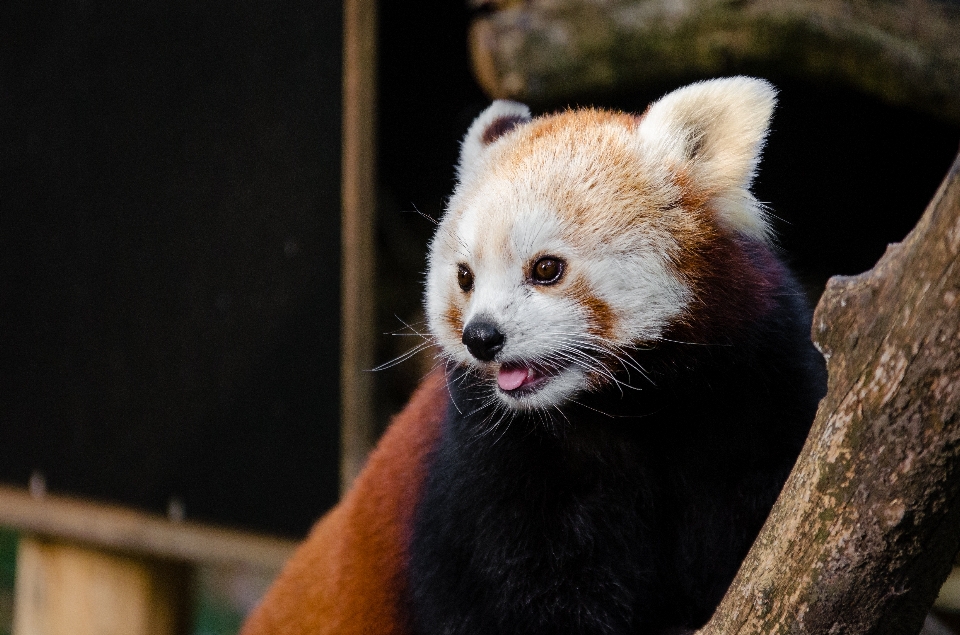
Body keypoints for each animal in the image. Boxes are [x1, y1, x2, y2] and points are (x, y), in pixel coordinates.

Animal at [240, 78, 824, 635]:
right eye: (465, 277)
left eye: (546, 269)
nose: (481, 336)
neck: (627, 410)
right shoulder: (488, 472)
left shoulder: (755, 391)